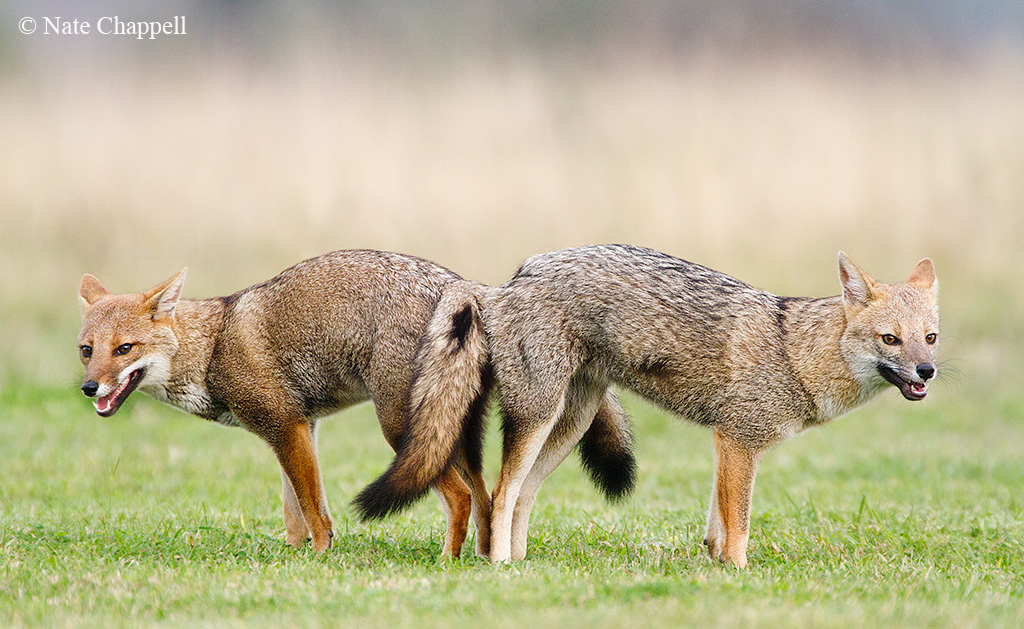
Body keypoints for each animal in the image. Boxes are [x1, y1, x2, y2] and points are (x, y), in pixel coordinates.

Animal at [354, 244, 939, 567]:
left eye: (929, 338)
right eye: (890, 340)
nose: (927, 373)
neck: (794, 352)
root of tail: (503, 285)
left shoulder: (727, 445)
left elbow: (717, 524)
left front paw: (716, 565)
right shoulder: (739, 441)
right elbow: (740, 524)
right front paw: (739, 574)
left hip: (568, 427)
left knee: (517, 498)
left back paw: (520, 566)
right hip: (538, 418)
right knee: (500, 495)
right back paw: (498, 568)